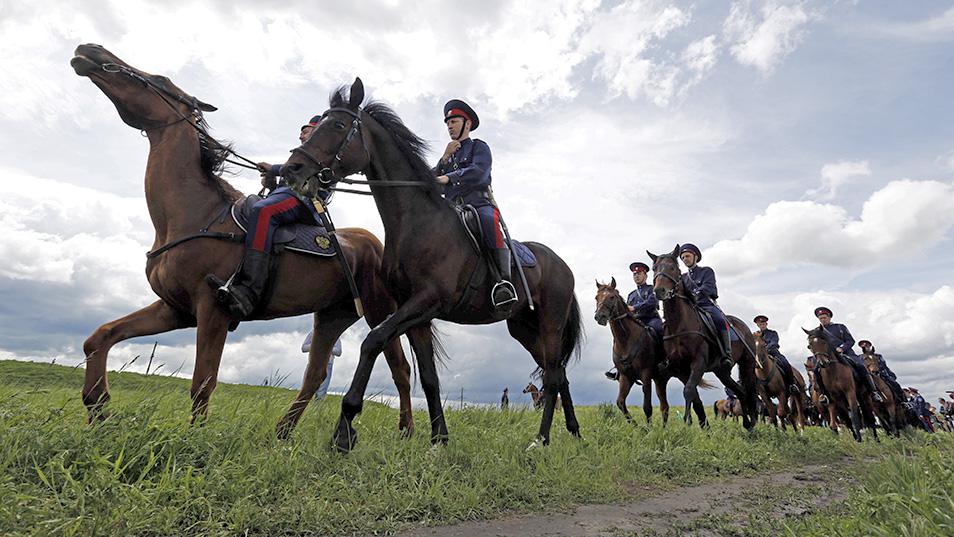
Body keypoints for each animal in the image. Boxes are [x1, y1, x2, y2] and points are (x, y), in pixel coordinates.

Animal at [71, 44, 416, 436]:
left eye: (159, 79)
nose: (91, 50)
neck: (195, 214)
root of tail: (378, 245)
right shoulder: (174, 309)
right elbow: (100, 337)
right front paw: (98, 406)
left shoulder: (213, 309)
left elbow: (203, 381)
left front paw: (194, 440)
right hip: (332, 315)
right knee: (314, 374)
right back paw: (281, 434)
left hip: (379, 310)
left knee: (400, 370)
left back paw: (406, 433)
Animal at [644, 246, 756, 428]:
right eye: (654, 269)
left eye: (673, 268)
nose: (659, 291)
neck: (679, 323)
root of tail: (743, 326)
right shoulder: (681, 369)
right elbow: (693, 395)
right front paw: (701, 425)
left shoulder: (699, 361)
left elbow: (689, 390)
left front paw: (687, 421)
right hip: (722, 372)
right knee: (740, 391)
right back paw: (747, 423)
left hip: (748, 364)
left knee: (750, 390)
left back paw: (752, 421)